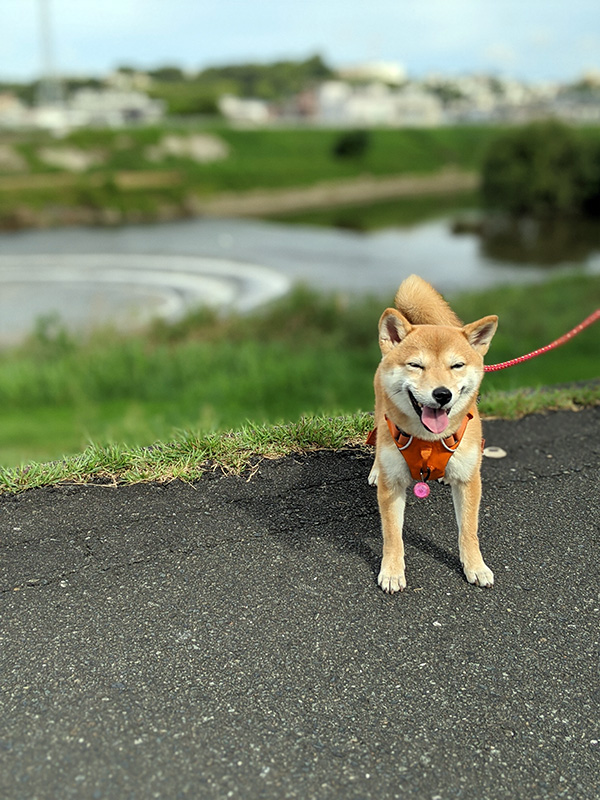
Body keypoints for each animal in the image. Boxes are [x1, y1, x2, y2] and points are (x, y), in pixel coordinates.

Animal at [368, 276, 500, 592]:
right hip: (380, 415)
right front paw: (392, 571)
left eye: (457, 365)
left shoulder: (469, 480)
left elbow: (469, 530)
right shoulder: (392, 488)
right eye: (416, 365)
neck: (427, 439)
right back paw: (376, 469)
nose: (442, 394)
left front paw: (475, 566)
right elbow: (392, 535)